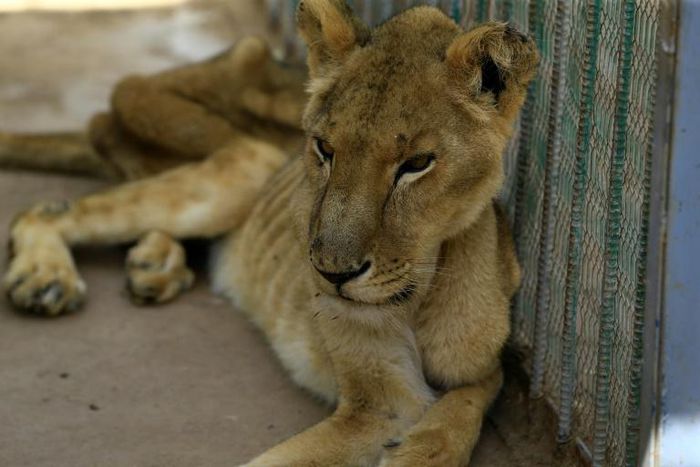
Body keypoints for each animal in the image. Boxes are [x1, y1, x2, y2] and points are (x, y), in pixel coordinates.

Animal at [2, 2, 538, 465]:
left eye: (417, 164)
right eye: (323, 148)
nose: (331, 274)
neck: (422, 294)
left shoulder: (479, 369)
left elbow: (466, 405)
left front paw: (421, 450)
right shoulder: (379, 404)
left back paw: (154, 266)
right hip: (244, 162)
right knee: (41, 212)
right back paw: (47, 280)